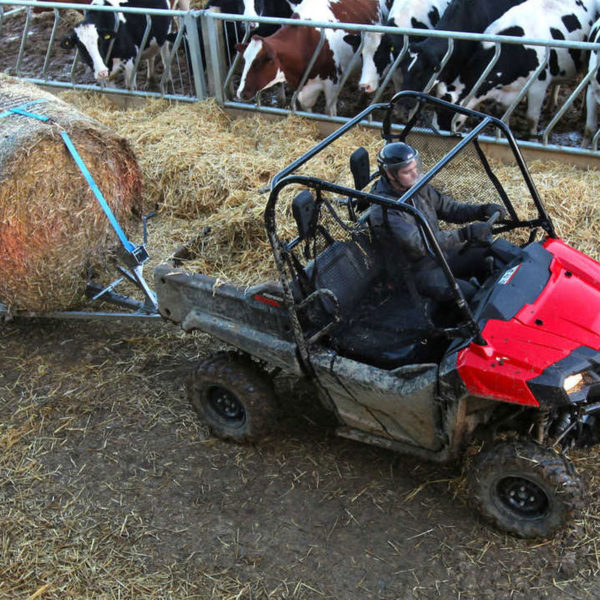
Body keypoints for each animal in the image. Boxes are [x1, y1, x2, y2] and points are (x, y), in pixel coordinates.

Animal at [234, 0, 384, 115]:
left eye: (259, 62)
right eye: (245, 60)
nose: (241, 93)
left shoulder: (332, 83)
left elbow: (329, 112)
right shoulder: (303, 89)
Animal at [438, 0, 596, 137]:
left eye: (450, 116)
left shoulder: (539, 84)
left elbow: (531, 118)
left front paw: (532, 136)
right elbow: (504, 116)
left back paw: (583, 112)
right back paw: (551, 105)